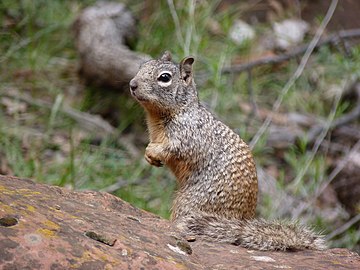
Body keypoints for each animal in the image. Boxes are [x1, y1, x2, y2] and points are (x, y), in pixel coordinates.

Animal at [130, 51, 326, 251]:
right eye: (142, 66)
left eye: (164, 78)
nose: (132, 84)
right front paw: (148, 155)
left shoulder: (188, 137)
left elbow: (174, 148)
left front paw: (154, 151)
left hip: (189, 203)